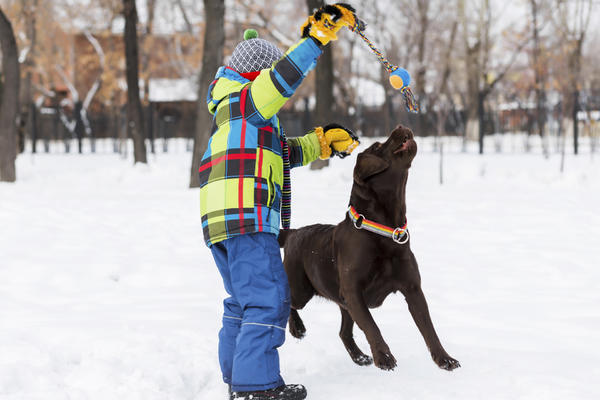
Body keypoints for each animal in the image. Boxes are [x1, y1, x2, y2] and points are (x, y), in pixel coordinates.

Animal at [278, 124, 462, 372]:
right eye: (376, 146)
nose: (400, 126)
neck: (383, 230)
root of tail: (294, 232)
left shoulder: (412, 289)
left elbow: (429, 329)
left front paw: (445, 359)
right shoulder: (354, 292)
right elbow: (372, 326)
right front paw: (384, 358)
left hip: (341, 302)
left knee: (343, 332)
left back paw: (359, 357)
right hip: (302, 290)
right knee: (288, 303)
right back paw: (297, 328)